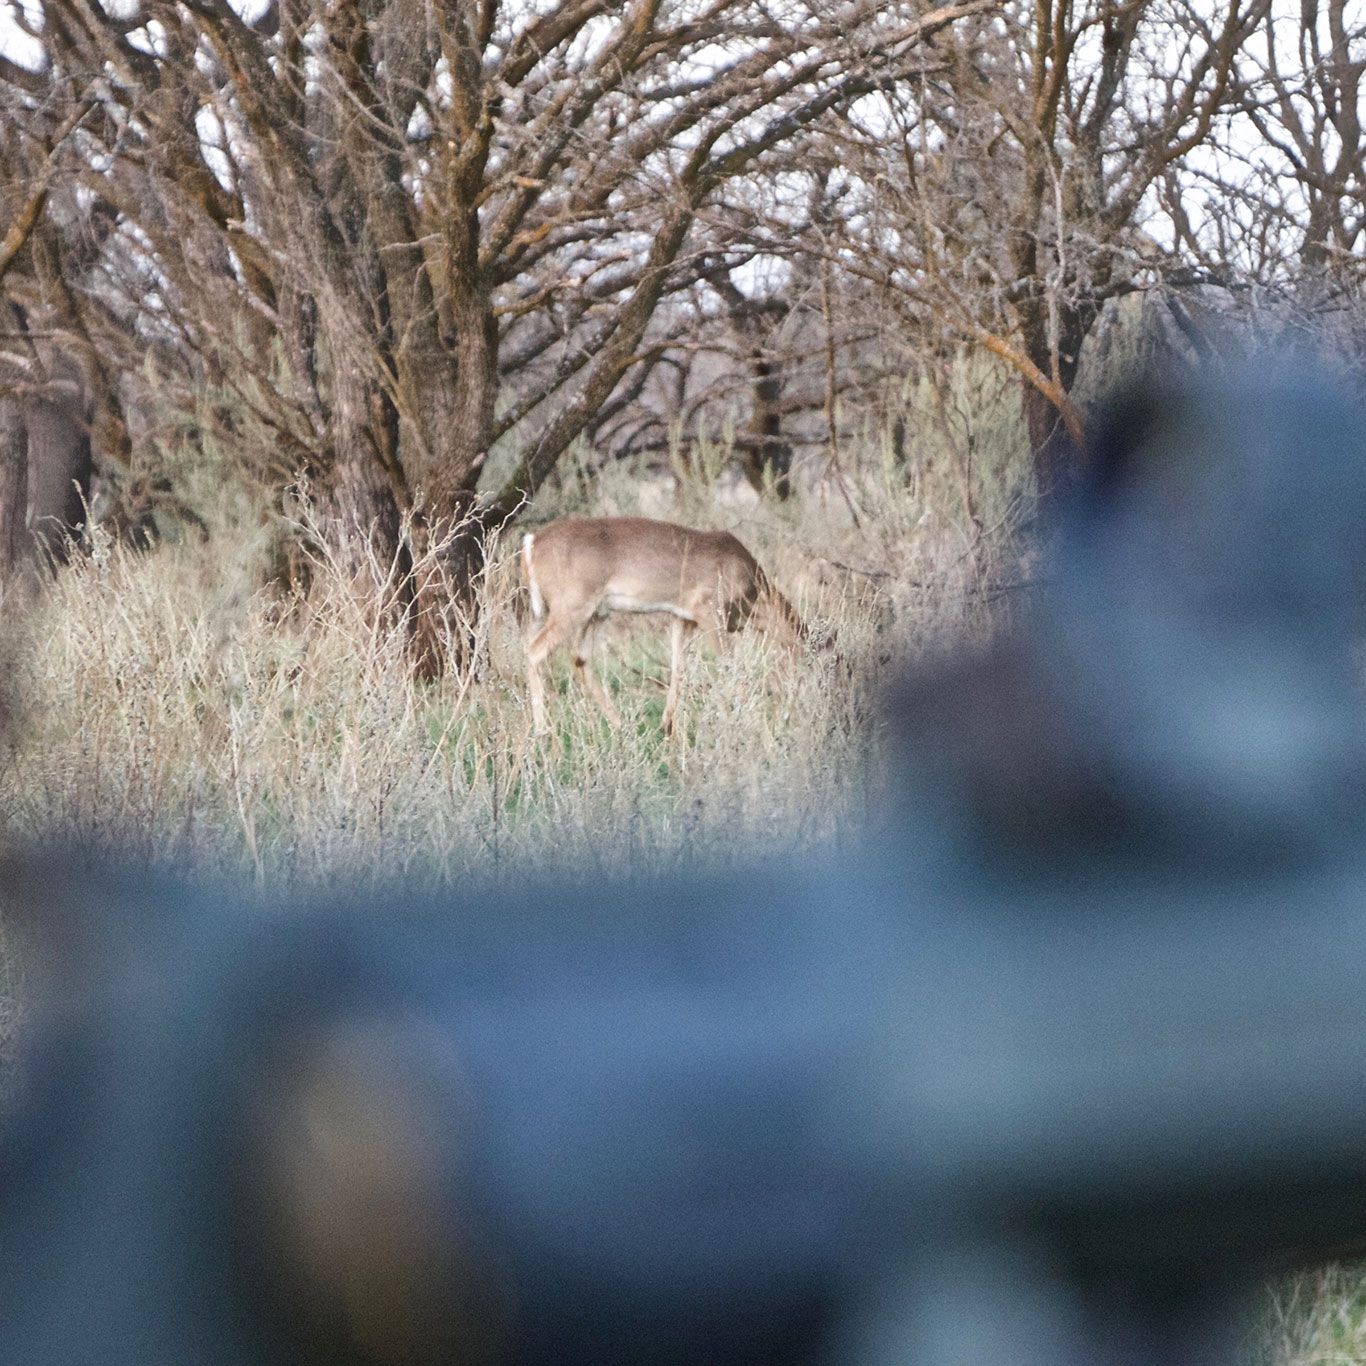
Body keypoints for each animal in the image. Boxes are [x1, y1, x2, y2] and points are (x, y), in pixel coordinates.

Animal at [516, 516, 803, 737]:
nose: (791, 715)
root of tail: (531, 544)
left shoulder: (683, 618)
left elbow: (679, 667)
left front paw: (667, 726)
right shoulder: (709, 610)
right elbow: (730, 666)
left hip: (589, 613)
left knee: (579, 658)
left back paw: (621, 726)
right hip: (572, 606)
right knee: (535, 651)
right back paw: (542, 731)